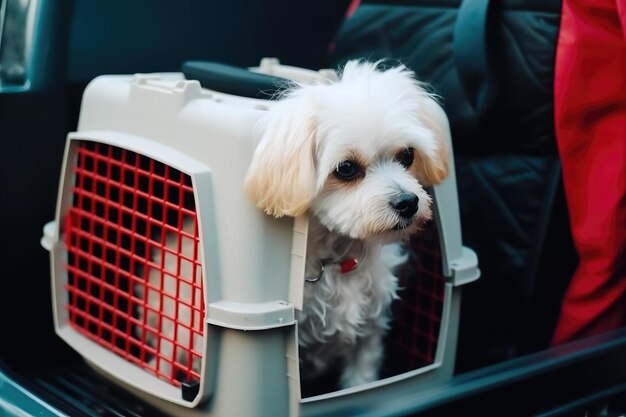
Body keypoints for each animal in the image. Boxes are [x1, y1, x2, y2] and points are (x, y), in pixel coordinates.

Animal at [244, 60, 448, 392]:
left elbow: (361, 380)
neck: (340, 258)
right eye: (347, 168)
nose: (408, 202)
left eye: (407, 154)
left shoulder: (368, 336)